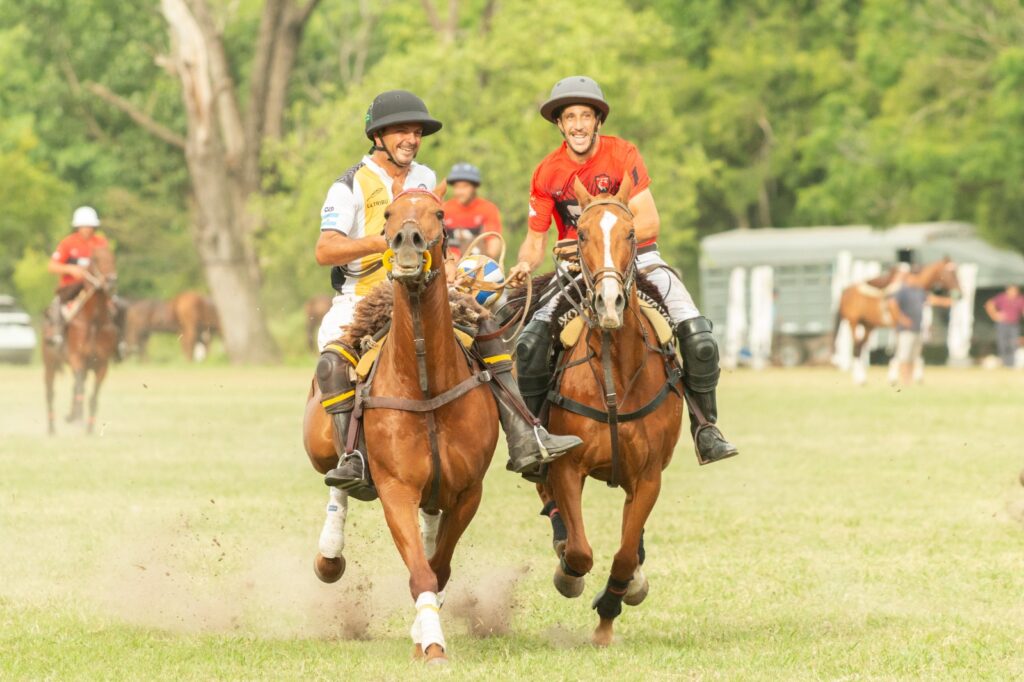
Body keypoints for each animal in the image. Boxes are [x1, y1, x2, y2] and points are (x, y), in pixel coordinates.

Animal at [42, 246, 119, 435]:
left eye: (113, 258)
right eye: (96, 259)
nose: (111, 280)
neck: (94, 322)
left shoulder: (102, 364)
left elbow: (93, 396)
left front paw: (89, 428)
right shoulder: (76, 358)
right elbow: (79, 389)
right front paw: (75, 416)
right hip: (49, 363)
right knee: (50, 392)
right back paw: (52, 428)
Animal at [302, 184, 499, 665]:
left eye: (439, 213)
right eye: (388, 213)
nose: (407, 243)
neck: (424, 384)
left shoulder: (468, 491)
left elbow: (437, 567)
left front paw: (424, 633)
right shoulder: (395, 489)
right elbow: (421, 572)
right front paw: (433, 644)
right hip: (320, 446)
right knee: (337, 481)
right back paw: (329, 554)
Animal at [534, 177, 684, 647]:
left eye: (631, 233)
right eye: (580, 234)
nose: (609, 302)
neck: (615, 371)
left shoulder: (649, 476)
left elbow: (623, 555)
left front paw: (609, 612)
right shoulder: (568, 467)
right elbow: (582, 552)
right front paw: (569, 572)